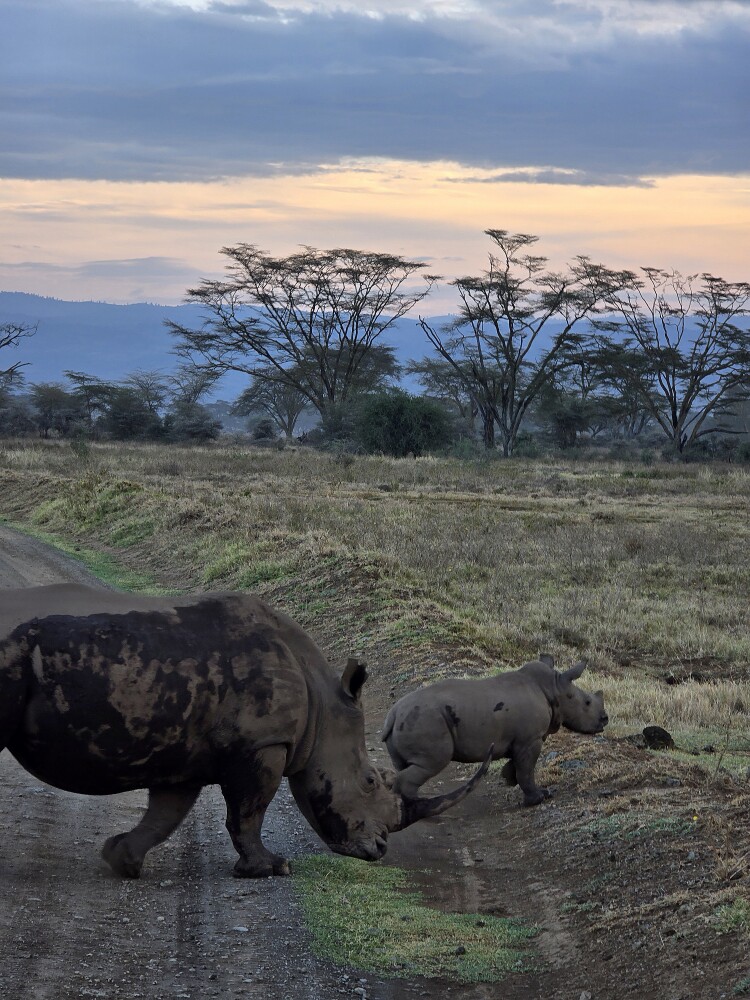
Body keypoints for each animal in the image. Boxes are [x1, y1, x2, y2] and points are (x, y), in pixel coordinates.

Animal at [0, 584, 489, 879]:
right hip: (9, 652)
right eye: (371, 781)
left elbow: (166, 813)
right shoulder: (263, 744)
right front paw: (271, 868)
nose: (379, 850)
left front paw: (123, 861)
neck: (321, 704)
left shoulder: (185, 753)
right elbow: (249, 811)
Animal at [381, 655, 608, 807]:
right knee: (432, 762)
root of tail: (393, 714)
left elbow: (519, 765)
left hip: (411, 721)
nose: (605, 720)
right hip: (426, 721)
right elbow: (527, 769)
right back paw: (420, 807)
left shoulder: (521, 740)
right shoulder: (530, 739)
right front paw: (539, 797)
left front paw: (508, 778)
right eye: (587, 703)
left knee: (405, 765)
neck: (553, 688)